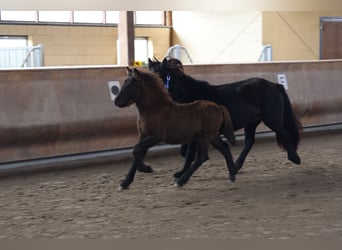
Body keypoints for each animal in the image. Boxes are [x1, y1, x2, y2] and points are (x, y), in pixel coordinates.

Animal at [148, 56, 300, 174]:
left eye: (157, 75)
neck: (191, 95)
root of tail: (274, 85)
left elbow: (189, 153)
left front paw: (180, 175)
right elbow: (186, 153)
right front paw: (180, 173)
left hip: (272, 120)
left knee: (285, 134)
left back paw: (295, 158)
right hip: (252, 122)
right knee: (249, 142)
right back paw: (236, 166)